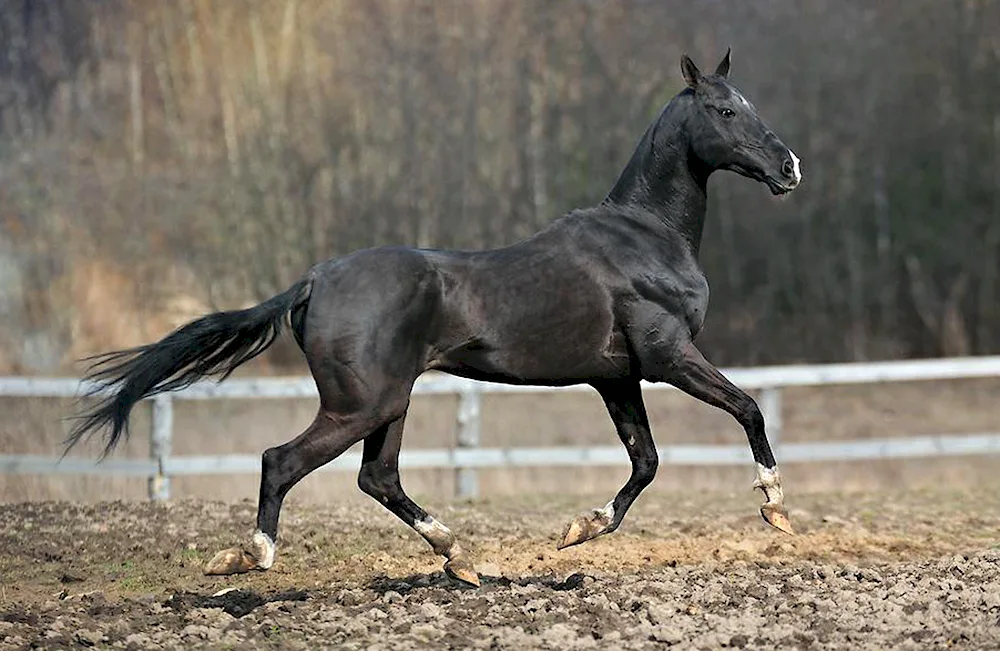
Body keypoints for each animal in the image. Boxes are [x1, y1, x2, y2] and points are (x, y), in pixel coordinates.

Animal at [68, 53, 804, 588]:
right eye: (724, 109)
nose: (789, 165)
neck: (645, 236)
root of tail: (314, 279)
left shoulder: (616, 379)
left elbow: (646, 461)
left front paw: (579, 528)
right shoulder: (668, 358)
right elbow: (747, 410)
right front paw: (776, 508)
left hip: (391, 401)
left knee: (377, 476)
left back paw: (460, 557)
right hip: (361, 404)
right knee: (283, 461)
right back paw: (251, 558)